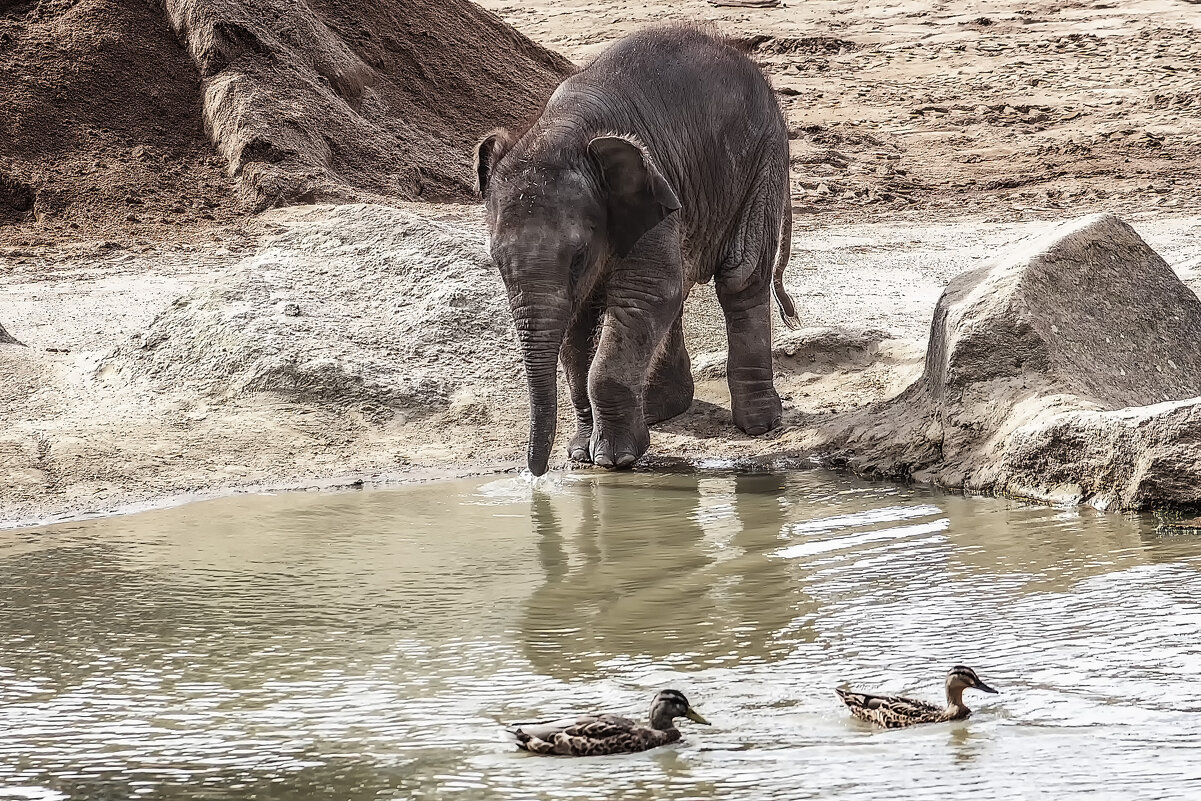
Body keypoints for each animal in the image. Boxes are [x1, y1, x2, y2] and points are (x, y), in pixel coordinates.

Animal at [475, 23, 797, 475]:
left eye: (578, 257)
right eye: (497, 262)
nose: (535, 475)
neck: (563, 131)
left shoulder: (652, 190)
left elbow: (645, 293)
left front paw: (614, 459)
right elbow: (582, 324)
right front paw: (582, 452)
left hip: (762, 164)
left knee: (740, 278)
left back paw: (759, 425)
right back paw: (661, 412)